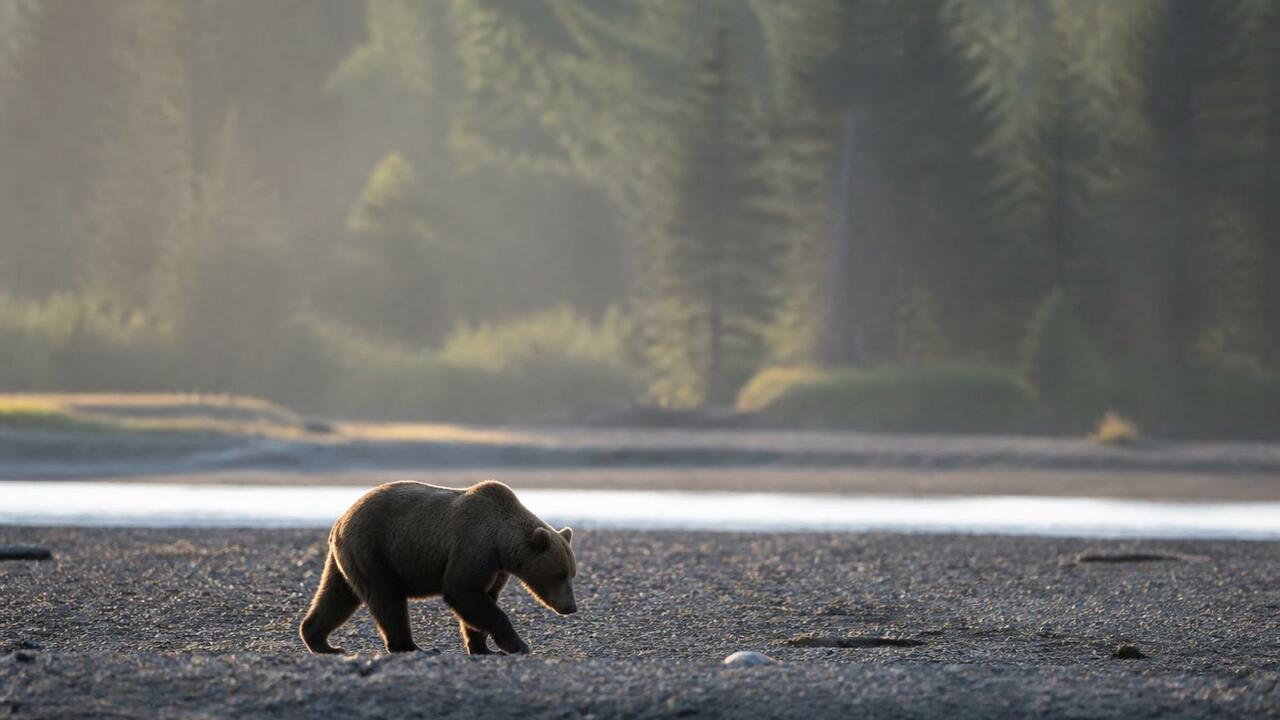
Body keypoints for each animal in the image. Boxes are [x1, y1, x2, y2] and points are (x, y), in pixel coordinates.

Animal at [299, 480, 577, 655]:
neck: (501, 544)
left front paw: (482, 647)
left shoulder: (496, 569)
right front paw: (516, 644)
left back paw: (322, 642)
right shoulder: (473, 546)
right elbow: (463, 590)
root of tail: (341, 519)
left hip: (346, 558)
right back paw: (413, 647)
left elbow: (482, 599)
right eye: (561, 574)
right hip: (375, 550)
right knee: (387, 600)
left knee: (337, 596)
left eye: (572, 573)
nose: (571, 607)